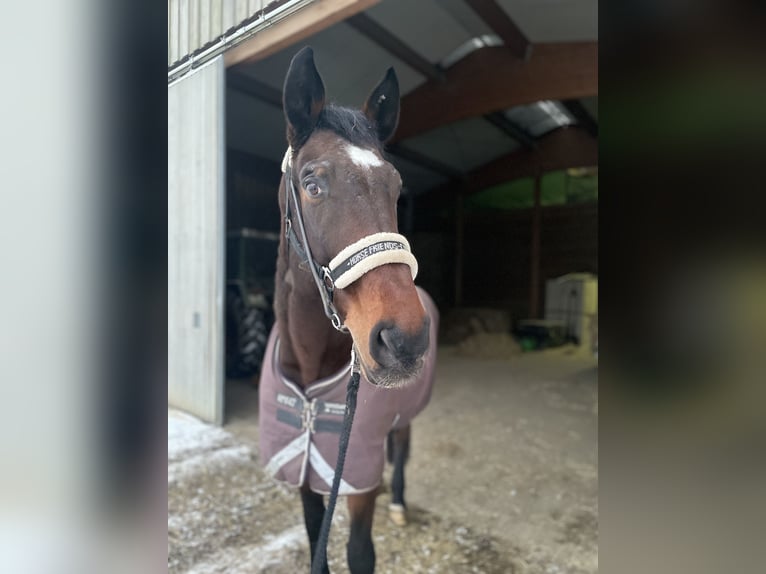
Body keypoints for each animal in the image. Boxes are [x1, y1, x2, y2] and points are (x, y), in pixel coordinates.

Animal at [257, 46, 439, 574]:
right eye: (312, 183)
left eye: (396, 187)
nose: (403, 339)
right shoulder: (303, 473)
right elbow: (315, 541)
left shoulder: (358, 477)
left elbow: (360, 552)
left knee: (403, 445)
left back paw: (399, 503)